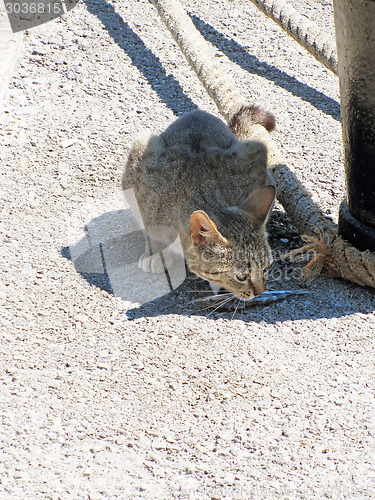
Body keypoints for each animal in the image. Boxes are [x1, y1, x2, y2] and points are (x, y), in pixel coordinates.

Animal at [122, 105, 276, 298]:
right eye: (242, 276)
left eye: (266, 269)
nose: (260, 292)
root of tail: (198, 112)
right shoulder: (143, 187)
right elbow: (152, 232)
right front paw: (156, 252)